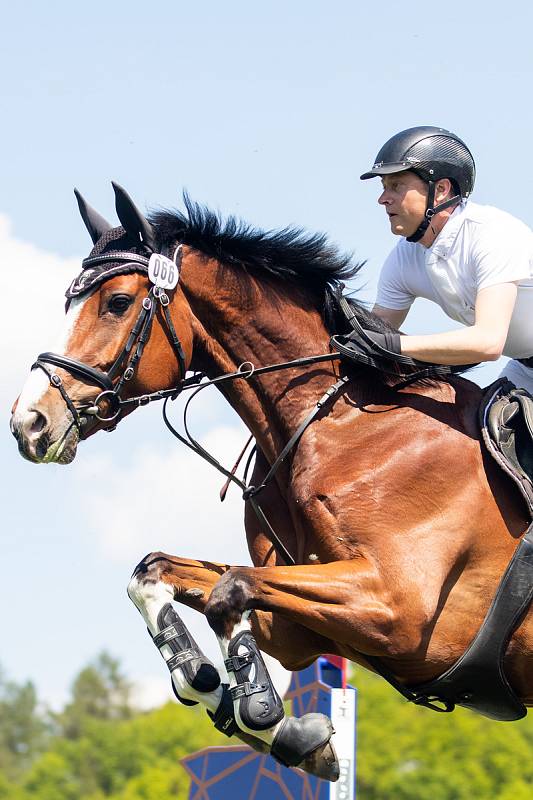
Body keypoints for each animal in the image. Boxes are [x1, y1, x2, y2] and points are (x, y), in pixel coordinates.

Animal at [10, 181, 532, 780]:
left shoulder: (398, 609)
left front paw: (261, 710)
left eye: (117, 302)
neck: (334, 423)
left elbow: (230, 589)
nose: (28, 422)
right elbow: (162, 574)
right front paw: (281, 726)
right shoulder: (307, 628)